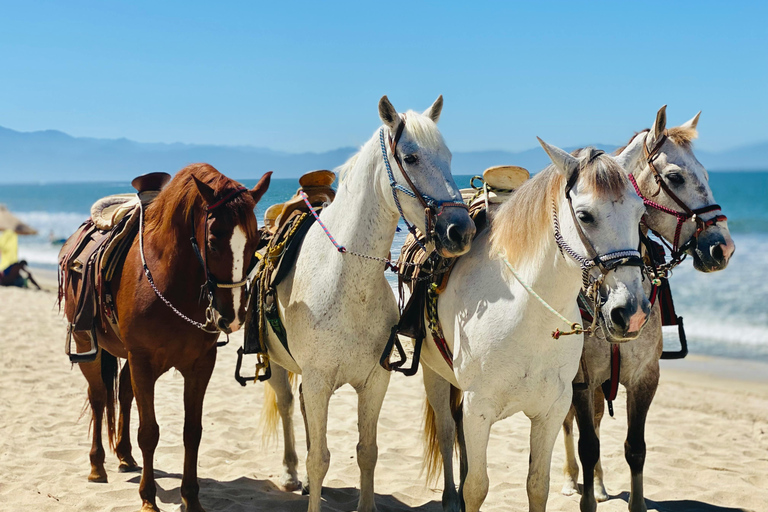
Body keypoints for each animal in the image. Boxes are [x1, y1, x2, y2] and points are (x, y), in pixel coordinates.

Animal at [60, 164, 271, 512]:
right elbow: (149, 432)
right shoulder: (143, 361)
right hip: (86, 343)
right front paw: (148, 498)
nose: (233, 316)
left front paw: (192, 498)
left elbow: (192, 432)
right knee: (99, 397)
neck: (169, 280)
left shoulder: (200, 365)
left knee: (123, 393)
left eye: (255, 241)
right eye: (213, 241)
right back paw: (97, 466)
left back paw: (125, 456)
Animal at [252, 96, 475, 512]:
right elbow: (319, 458)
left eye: (449, 157)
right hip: (276, 361)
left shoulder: (374, 381)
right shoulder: (319, 379)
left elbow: (367, 451)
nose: (461, 230)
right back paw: (291, 474)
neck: (345, 282)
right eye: (411, 157)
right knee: (288, 404)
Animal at [420, 140, 652, 512]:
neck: (527, 315)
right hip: (435, 377)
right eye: (585, 216)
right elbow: (476, 488)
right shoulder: (478, 407)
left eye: (640, 213)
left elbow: (537, 485)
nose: (631, 312)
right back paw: (450, 498)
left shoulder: (551, 410)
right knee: (446, 430)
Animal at [560, 107, 735, 512]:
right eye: (675, 177)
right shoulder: (580, 381)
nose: (723, 247)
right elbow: (587, 444)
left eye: (706, 174)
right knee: (568, 426)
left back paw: (600, 485)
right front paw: (584, 493)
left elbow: (634, 449)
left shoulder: (644, 378)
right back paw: (571, 479)